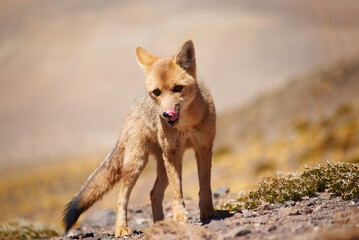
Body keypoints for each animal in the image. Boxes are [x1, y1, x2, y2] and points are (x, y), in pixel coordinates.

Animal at [62, 39, 217, 236]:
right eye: (157, 92)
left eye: (178, 88)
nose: (166, 114)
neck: (186, 125)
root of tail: (131, 108)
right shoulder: (173, 153)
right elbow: (177, 192)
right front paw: (180, 217)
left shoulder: (204, 148)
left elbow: (204, 184)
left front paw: (208, 211)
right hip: (138, 163)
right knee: (122, 197)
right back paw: (121, 228)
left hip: (162, 165)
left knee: (154, 193)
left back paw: (160, 224)